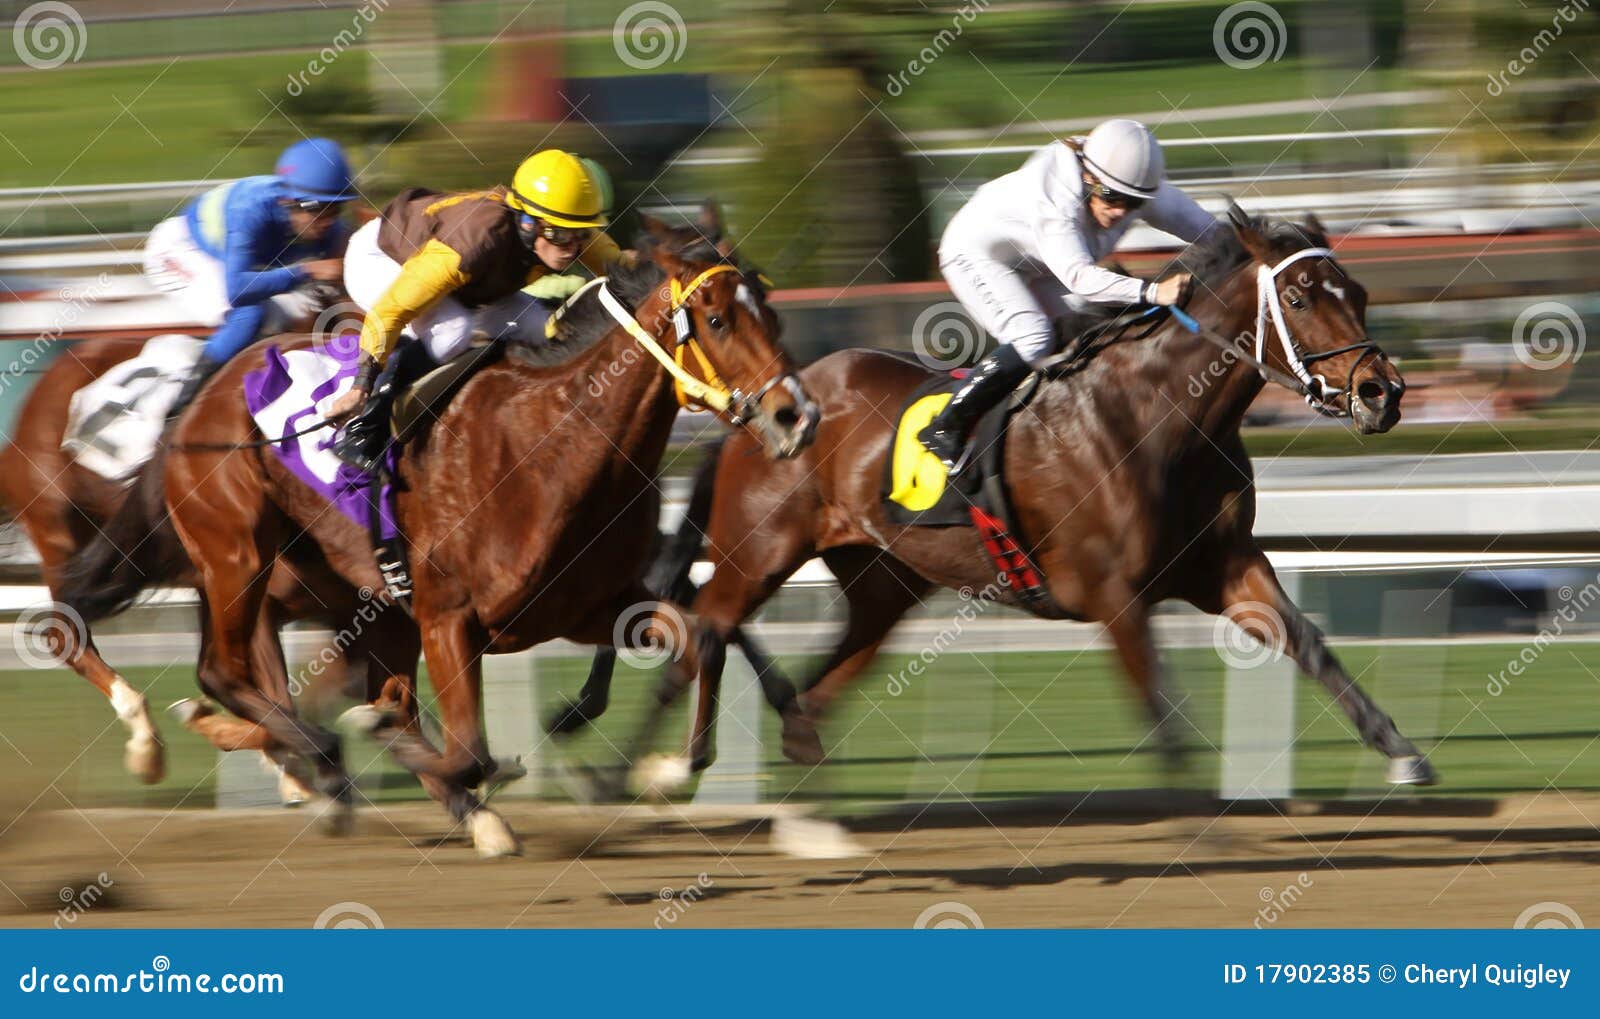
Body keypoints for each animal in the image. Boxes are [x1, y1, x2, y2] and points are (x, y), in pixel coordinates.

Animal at [59, 215, 812, 857]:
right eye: (716, 319)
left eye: (773, 313)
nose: (796, 415)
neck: (552, 443)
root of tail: (200, 398)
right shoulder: (449, 616)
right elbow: (468, 747)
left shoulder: (592, 606)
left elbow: (698, 637)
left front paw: (667, 766)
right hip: (237, 553)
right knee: (224, 670)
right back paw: (291, 755)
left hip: (354, 594)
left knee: (295, 686)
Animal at [601, 202, 1440, 790]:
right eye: (1297, 297)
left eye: (1357, 290)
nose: (1382, 391)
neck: (1160, 417)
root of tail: (764, 405)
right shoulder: (1113, 592)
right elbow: (1164, 710)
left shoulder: (1228, 566)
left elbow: (1311, 643)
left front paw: (1401, 751)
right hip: (758, 553)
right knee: (703, 633)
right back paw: (634, 772)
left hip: (882, 583)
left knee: (810, 688)